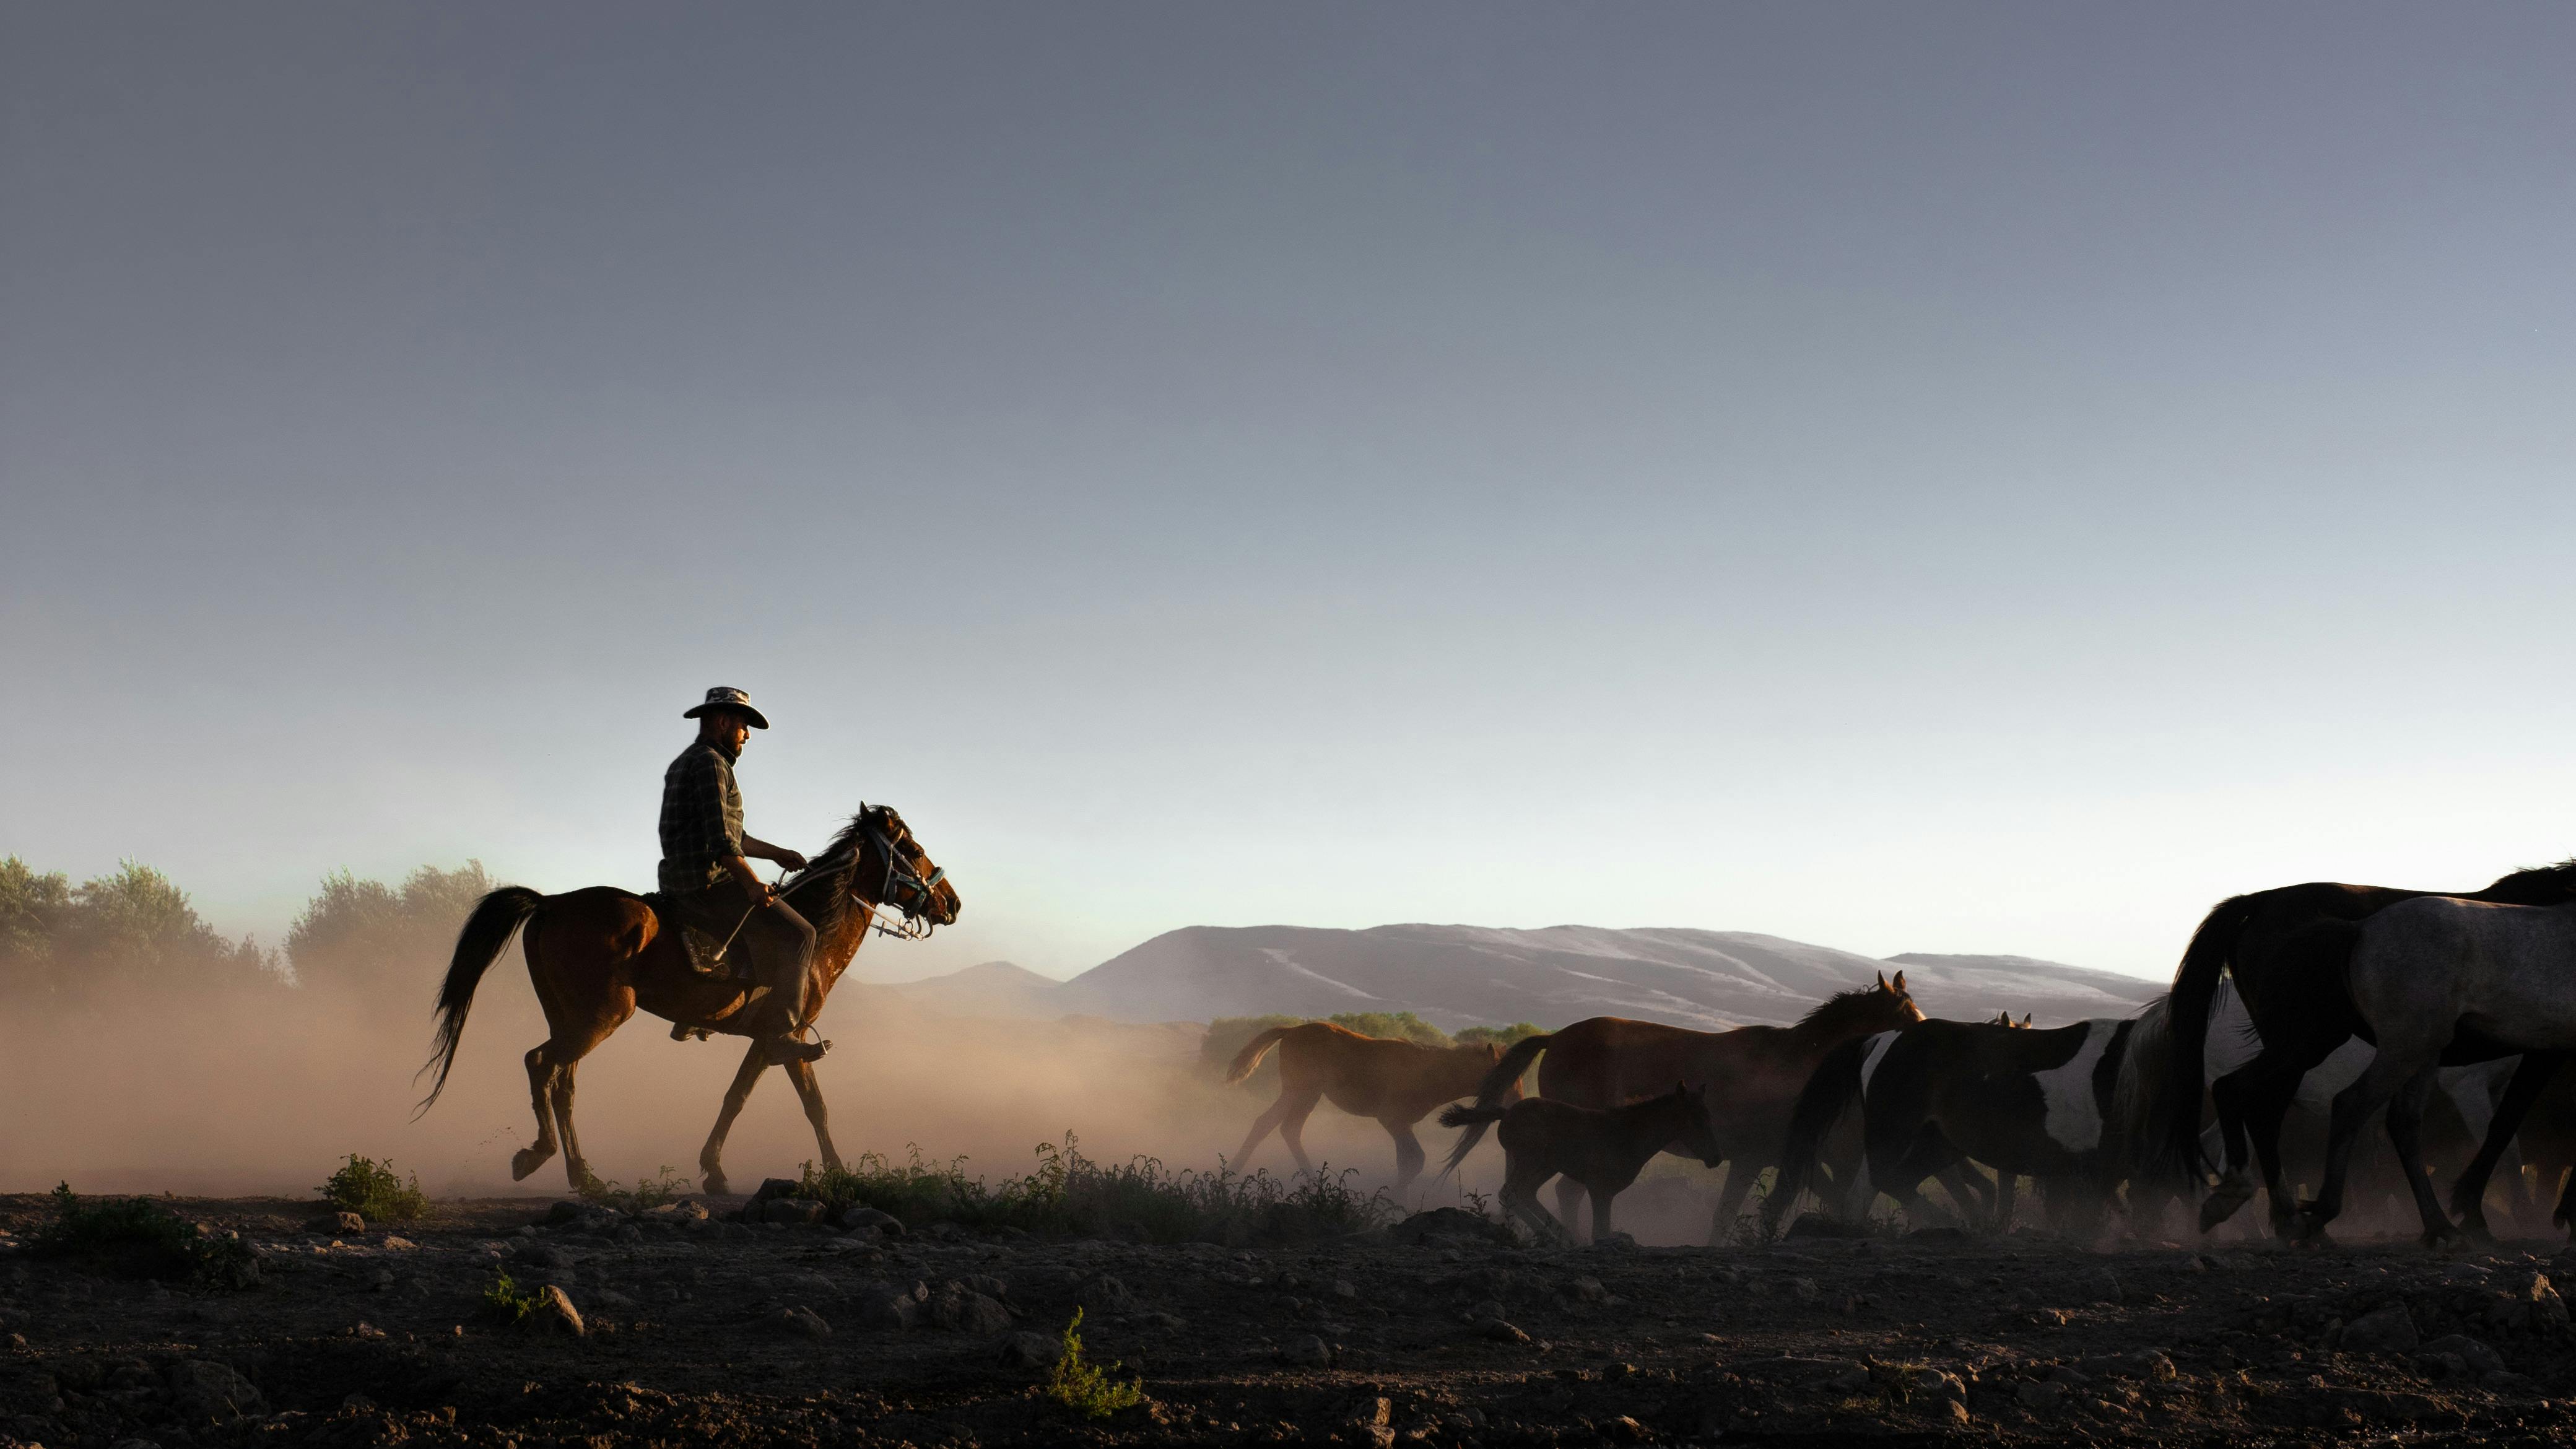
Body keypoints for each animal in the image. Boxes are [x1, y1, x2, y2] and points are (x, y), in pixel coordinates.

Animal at [422, 799, 968, 1186]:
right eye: (913, 851)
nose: (953, 903)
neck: (818, 932)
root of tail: (551, 903)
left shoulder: (764, 1041)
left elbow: (735, 1098)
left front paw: (714, 1170)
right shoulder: (787, 1037)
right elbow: (815, 1105)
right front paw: (839, 1172)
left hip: (570, 1019)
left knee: (563, 1084)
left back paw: (583, 1174)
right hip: (601, 1017)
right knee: (541, 1064)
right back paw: (538, 1156)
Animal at [1221, 1016, 1515, 1186]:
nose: (1516, 1102)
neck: (1432, 1071)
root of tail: (1292, 1031)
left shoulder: (1403, 1125)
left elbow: (1407, 1162)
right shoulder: (1393, 1120)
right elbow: (1414, 1161)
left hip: (1298, 1093)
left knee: (1269, 1125)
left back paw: (1234, 1174)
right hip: (1305, 1092)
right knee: (1286, 1128)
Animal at [1442, 1077, 1720, 1237]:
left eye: (1709, 1116)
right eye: (1696, 1120)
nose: (1716, 1158)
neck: (1627, 1135)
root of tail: (1507, 1113)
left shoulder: (1603, 1191)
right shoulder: (1600, 1190)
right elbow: (1601, 1232)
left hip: (1545, 1166)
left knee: (1525, 1193)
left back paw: (1564, 1236)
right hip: (1530, 1161)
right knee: (1512, 1193)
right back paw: (1558, 1237)